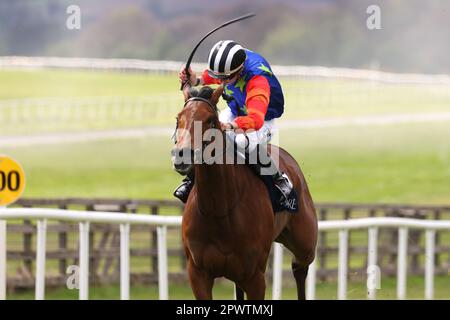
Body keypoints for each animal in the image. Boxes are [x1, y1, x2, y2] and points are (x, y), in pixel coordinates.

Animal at [171, 85, 316, 300]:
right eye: (178, 118)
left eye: (210, 120)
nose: (182, 155)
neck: (219, 210)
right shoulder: (198, 274)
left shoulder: (255, 277)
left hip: (305, 243)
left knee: (299, 268)